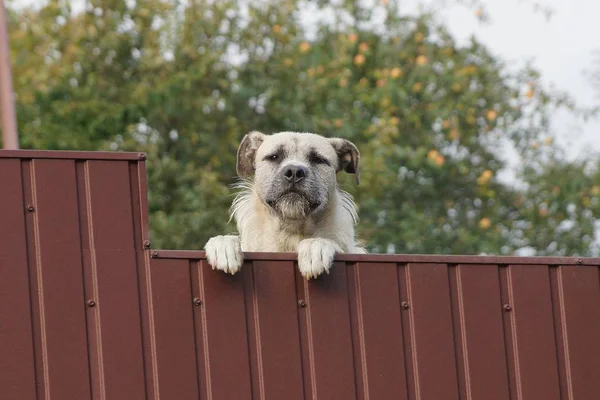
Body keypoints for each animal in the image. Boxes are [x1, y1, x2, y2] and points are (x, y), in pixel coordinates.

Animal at [205, 131, 366, 278]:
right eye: (274, 157)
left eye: (317, 159)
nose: (294, 171)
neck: (290, 231)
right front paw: (223, 246)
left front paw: (315, 247)